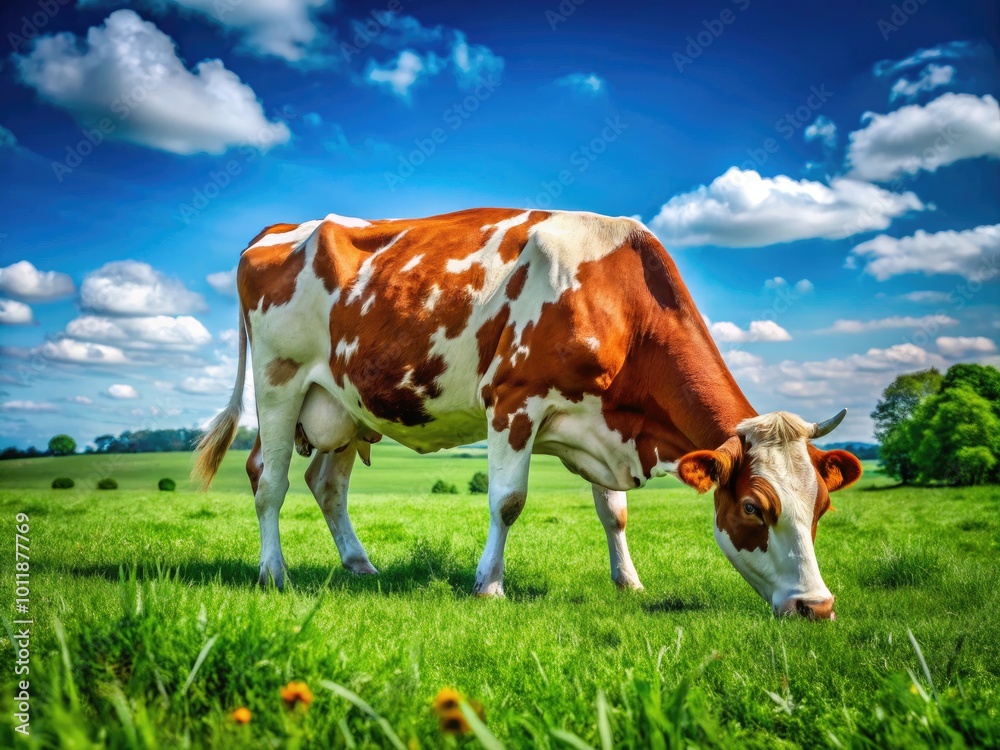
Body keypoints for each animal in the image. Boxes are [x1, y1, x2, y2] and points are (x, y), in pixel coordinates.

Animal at [193, 208, 862, 619]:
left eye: (822, 508)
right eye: (752, 507)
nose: (818, 607)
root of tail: (281, 227)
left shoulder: (602, 421)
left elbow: (615, 512)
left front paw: (629, 581)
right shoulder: (514, 401)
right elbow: (507, 502)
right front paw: (488, 585)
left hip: (342, 408)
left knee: (325, 484)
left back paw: (360, 565)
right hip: (279, 383)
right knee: (269, 480)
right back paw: (274, 573)